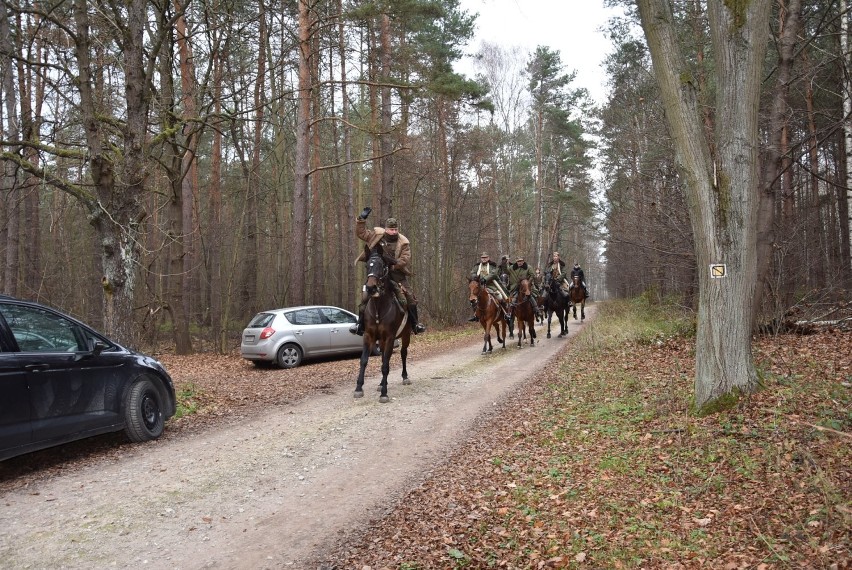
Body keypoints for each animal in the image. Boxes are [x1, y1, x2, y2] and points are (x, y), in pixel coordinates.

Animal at [354, 243, 412, 400]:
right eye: (367, 265)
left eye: (382, 266)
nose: (370, 288)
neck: (378, 309)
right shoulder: (369, 336)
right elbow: (364, 361)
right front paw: (358, 388)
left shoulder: (390, 337)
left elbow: (386, 364)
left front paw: (384, 393)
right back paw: (381, 384)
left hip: (406, 335)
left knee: (403, 353)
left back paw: (405, 377)